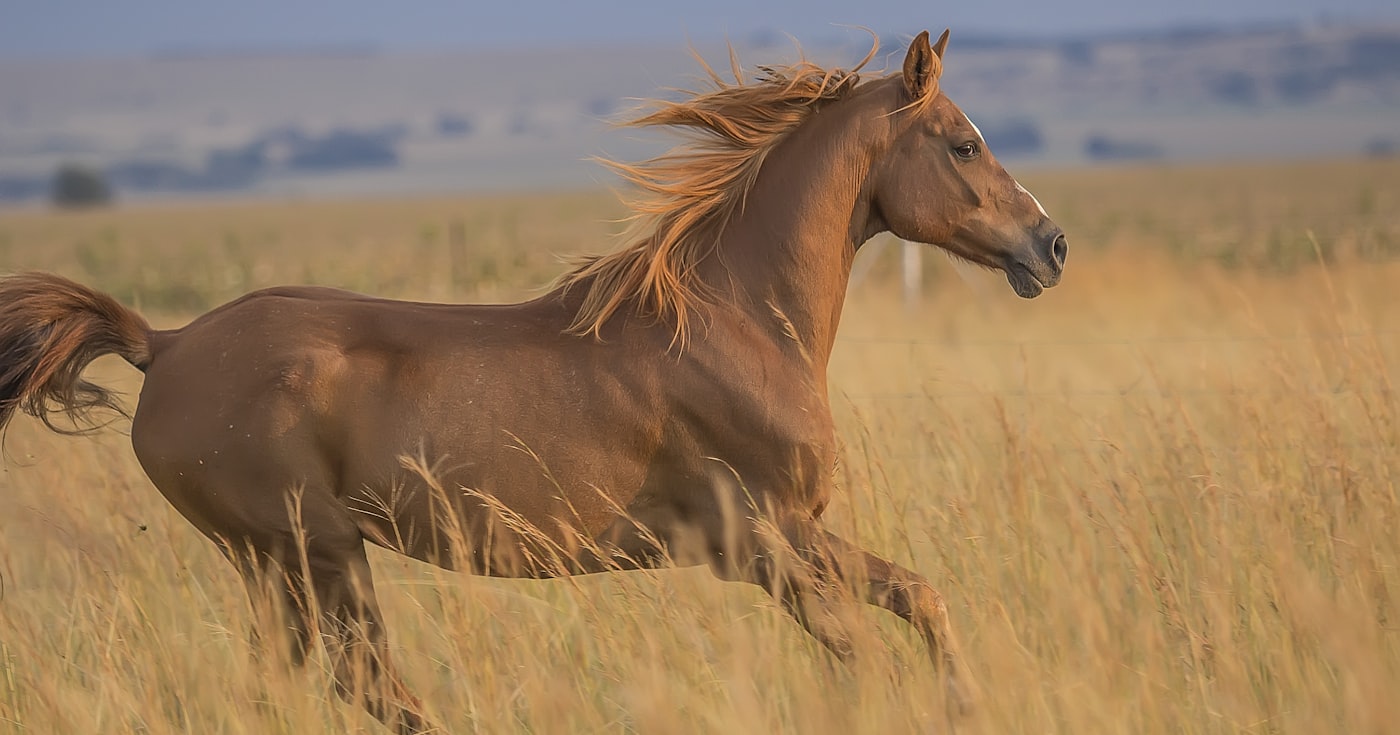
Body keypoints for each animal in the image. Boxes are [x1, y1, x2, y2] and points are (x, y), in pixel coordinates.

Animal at [0, 29, 1065, 733]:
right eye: (964, 142)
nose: (1049, 245)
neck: (736, 322)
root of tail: (166, 343)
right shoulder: (758, 541)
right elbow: (865, 653)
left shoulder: (794, 532)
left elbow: (921, 598)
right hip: (309, 553)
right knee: (368, 686)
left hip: (283, 566)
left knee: (305, 686)